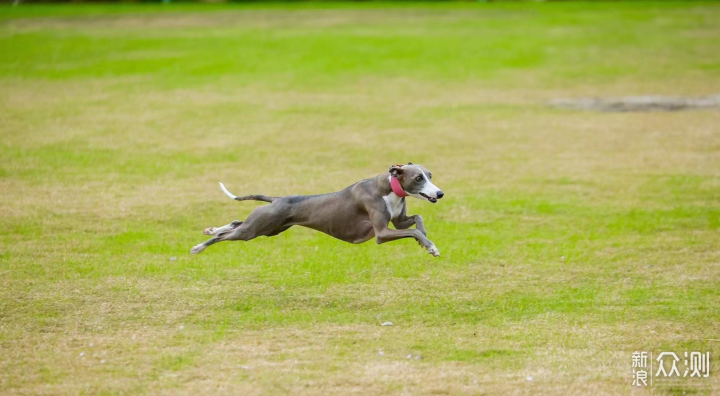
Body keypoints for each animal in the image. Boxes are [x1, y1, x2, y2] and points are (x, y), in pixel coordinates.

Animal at [188, 163, 442, 256]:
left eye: (430, 175)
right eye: (418, 178)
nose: (440, 193)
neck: (388, 187)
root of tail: (276, 199)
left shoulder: (398, 222)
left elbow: (417, 220)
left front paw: (425, 241)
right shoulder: (381, 233)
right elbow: (413, 229)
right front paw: (431, 246)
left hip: (268, 227)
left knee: (234, 223)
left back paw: (211, 230)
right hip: (254, 230)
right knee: (227, 234)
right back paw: (200, 246)